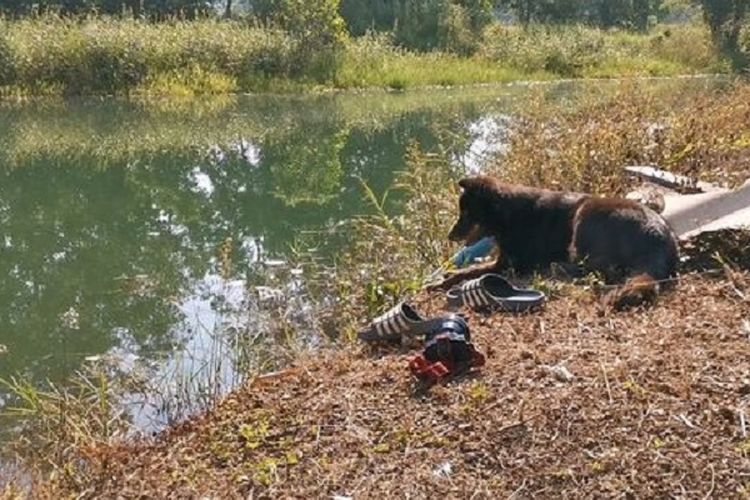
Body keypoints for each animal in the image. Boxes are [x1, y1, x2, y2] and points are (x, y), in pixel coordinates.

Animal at [440, 176, 680, 308]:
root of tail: (658, 235)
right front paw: (447, 277)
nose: (449, 236)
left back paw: (559, 268)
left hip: (585, 212)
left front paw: (446, 281)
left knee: (603, 270)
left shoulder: (510, 265)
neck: (507, 215)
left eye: (467, 213)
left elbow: (472, 271)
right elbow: (470, 269)